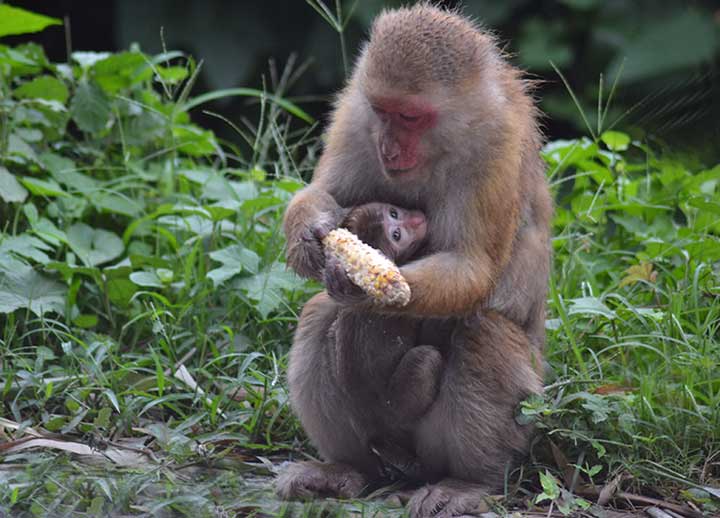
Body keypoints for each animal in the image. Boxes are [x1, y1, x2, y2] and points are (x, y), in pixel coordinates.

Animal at [278, 5, 552, 517]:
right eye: (384, 112)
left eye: (410, 116)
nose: (388, 147)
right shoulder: (356, 114)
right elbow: (328, 194)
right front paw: (307, 238)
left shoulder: (495, 145)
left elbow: (471, 266)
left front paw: (373, 290)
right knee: (320, 313)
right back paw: (348, 470)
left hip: (512, 411)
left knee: (483, 330)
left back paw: (469, 482)